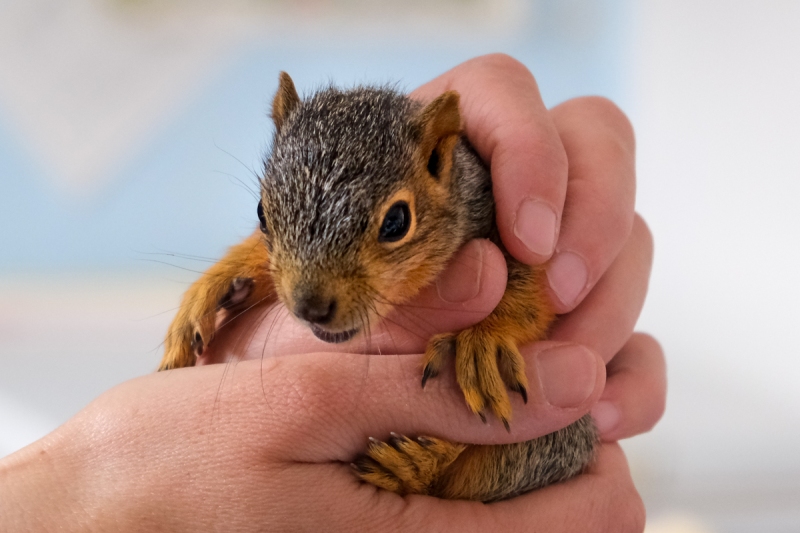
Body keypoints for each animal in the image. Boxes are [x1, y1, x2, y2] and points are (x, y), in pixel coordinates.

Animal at [159, 72, 597, 502]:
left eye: (397, 222)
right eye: (261, 214)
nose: (310, 307)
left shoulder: (501, 227)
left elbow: (533, 291)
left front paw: (484, 338)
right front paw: (210, 288)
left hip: (555, 442)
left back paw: (415, 463)